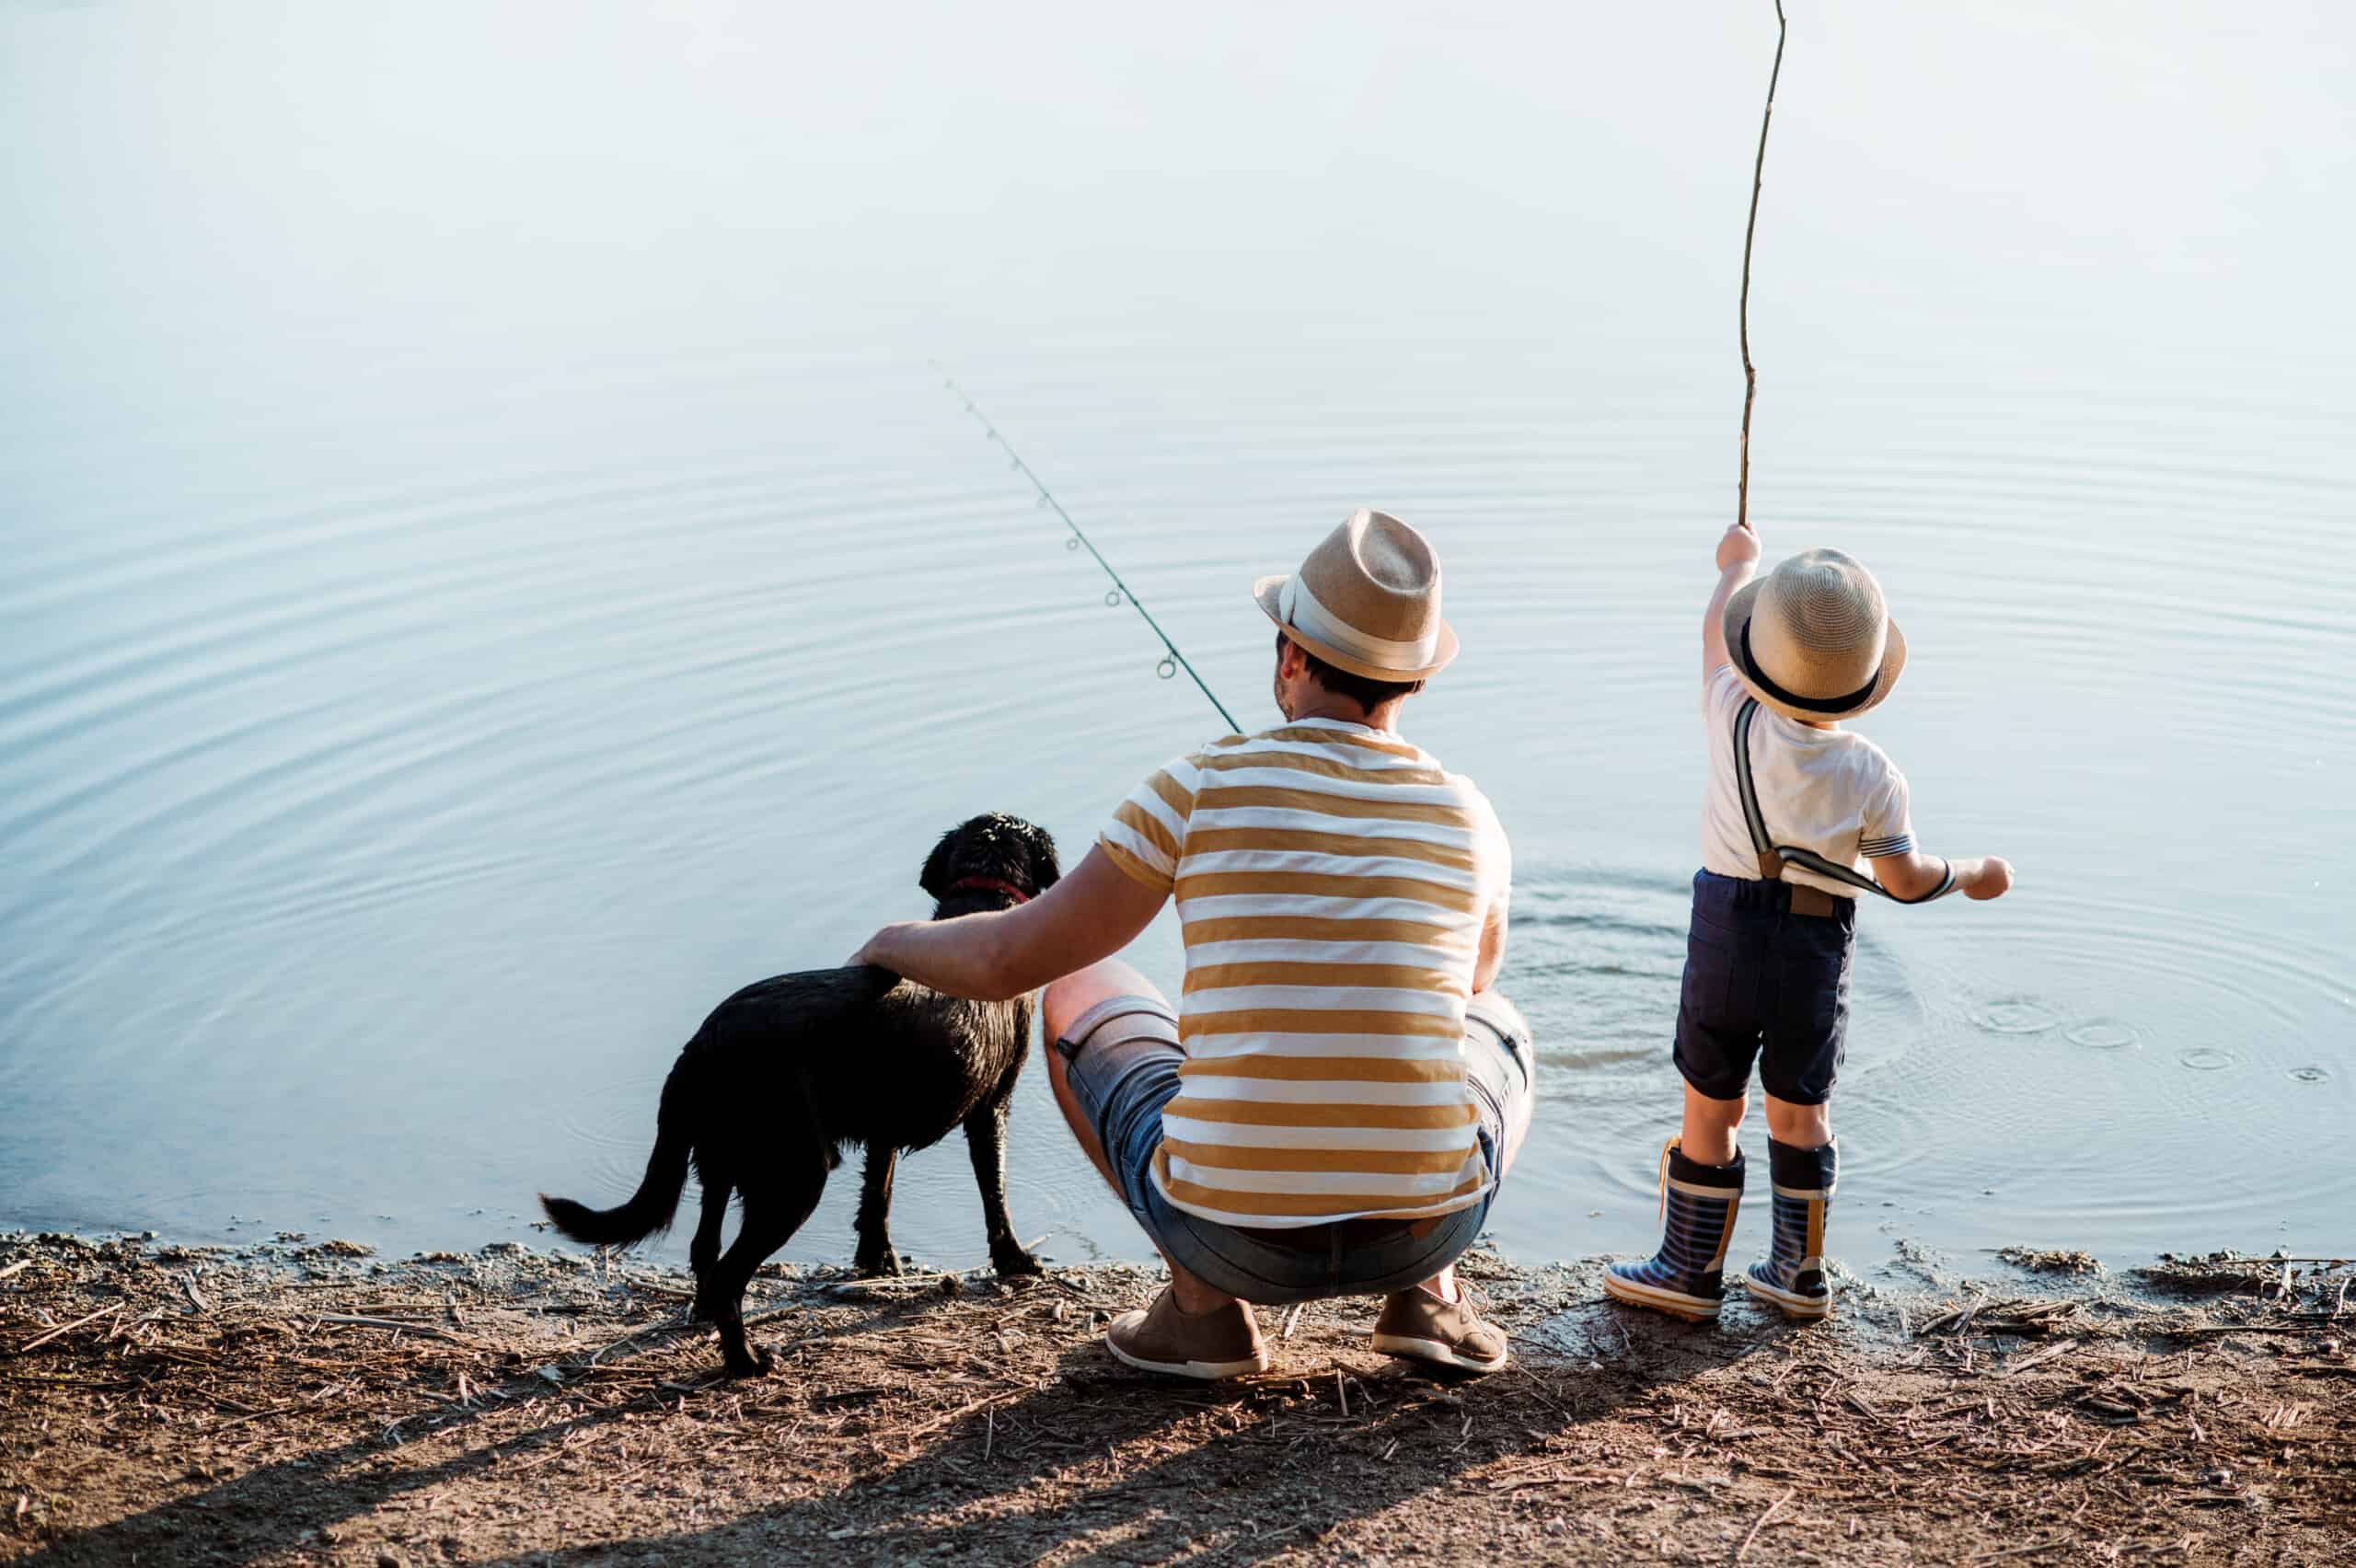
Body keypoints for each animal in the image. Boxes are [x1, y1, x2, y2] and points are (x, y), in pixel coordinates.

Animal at [541, 810, 1060, 1375]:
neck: (980, 903)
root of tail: (704, 1043)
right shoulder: (991, 1108)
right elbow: (995, 1193)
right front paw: (1015, 1260)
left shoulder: (882, 1125)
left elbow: (878, 1193)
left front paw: (878, 1261)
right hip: (794, 1175)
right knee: (728, 1275)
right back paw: (746, 1361)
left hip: (721, 1160)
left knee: (705, 1250)